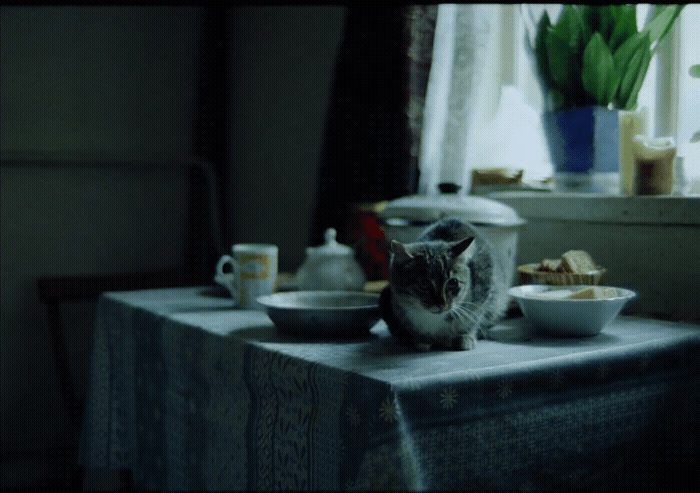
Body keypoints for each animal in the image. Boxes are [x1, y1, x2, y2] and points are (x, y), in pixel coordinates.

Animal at [378, 217, 508, 352]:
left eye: (453, 282)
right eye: (424, 283)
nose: (441, 304)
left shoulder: (485, 284)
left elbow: (474, 317)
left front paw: (466, 336)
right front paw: (421, 339)